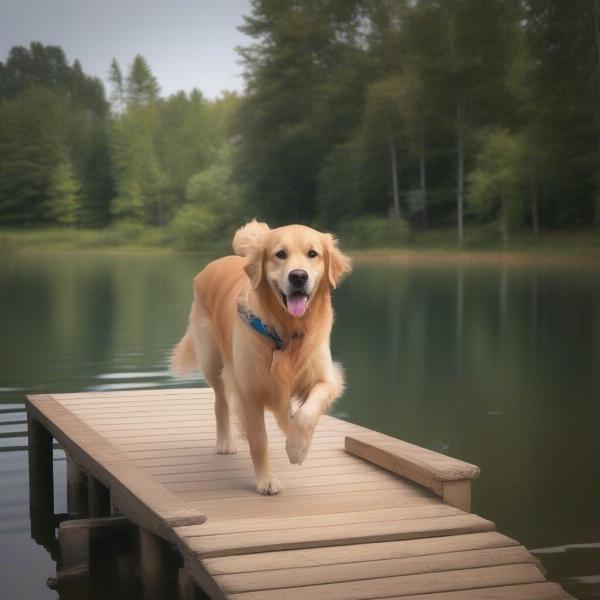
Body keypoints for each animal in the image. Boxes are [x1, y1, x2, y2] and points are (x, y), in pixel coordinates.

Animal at [171, 219, 352, 492]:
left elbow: (306, 413)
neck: (286, 332)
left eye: (313, 254)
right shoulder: (250, 391)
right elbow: (259, 441)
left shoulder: (325, 378)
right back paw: (226, 442)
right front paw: (266, 480)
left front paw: (297, 448)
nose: (298, 276)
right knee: (221, 401)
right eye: (280, 254)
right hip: (213, 359)